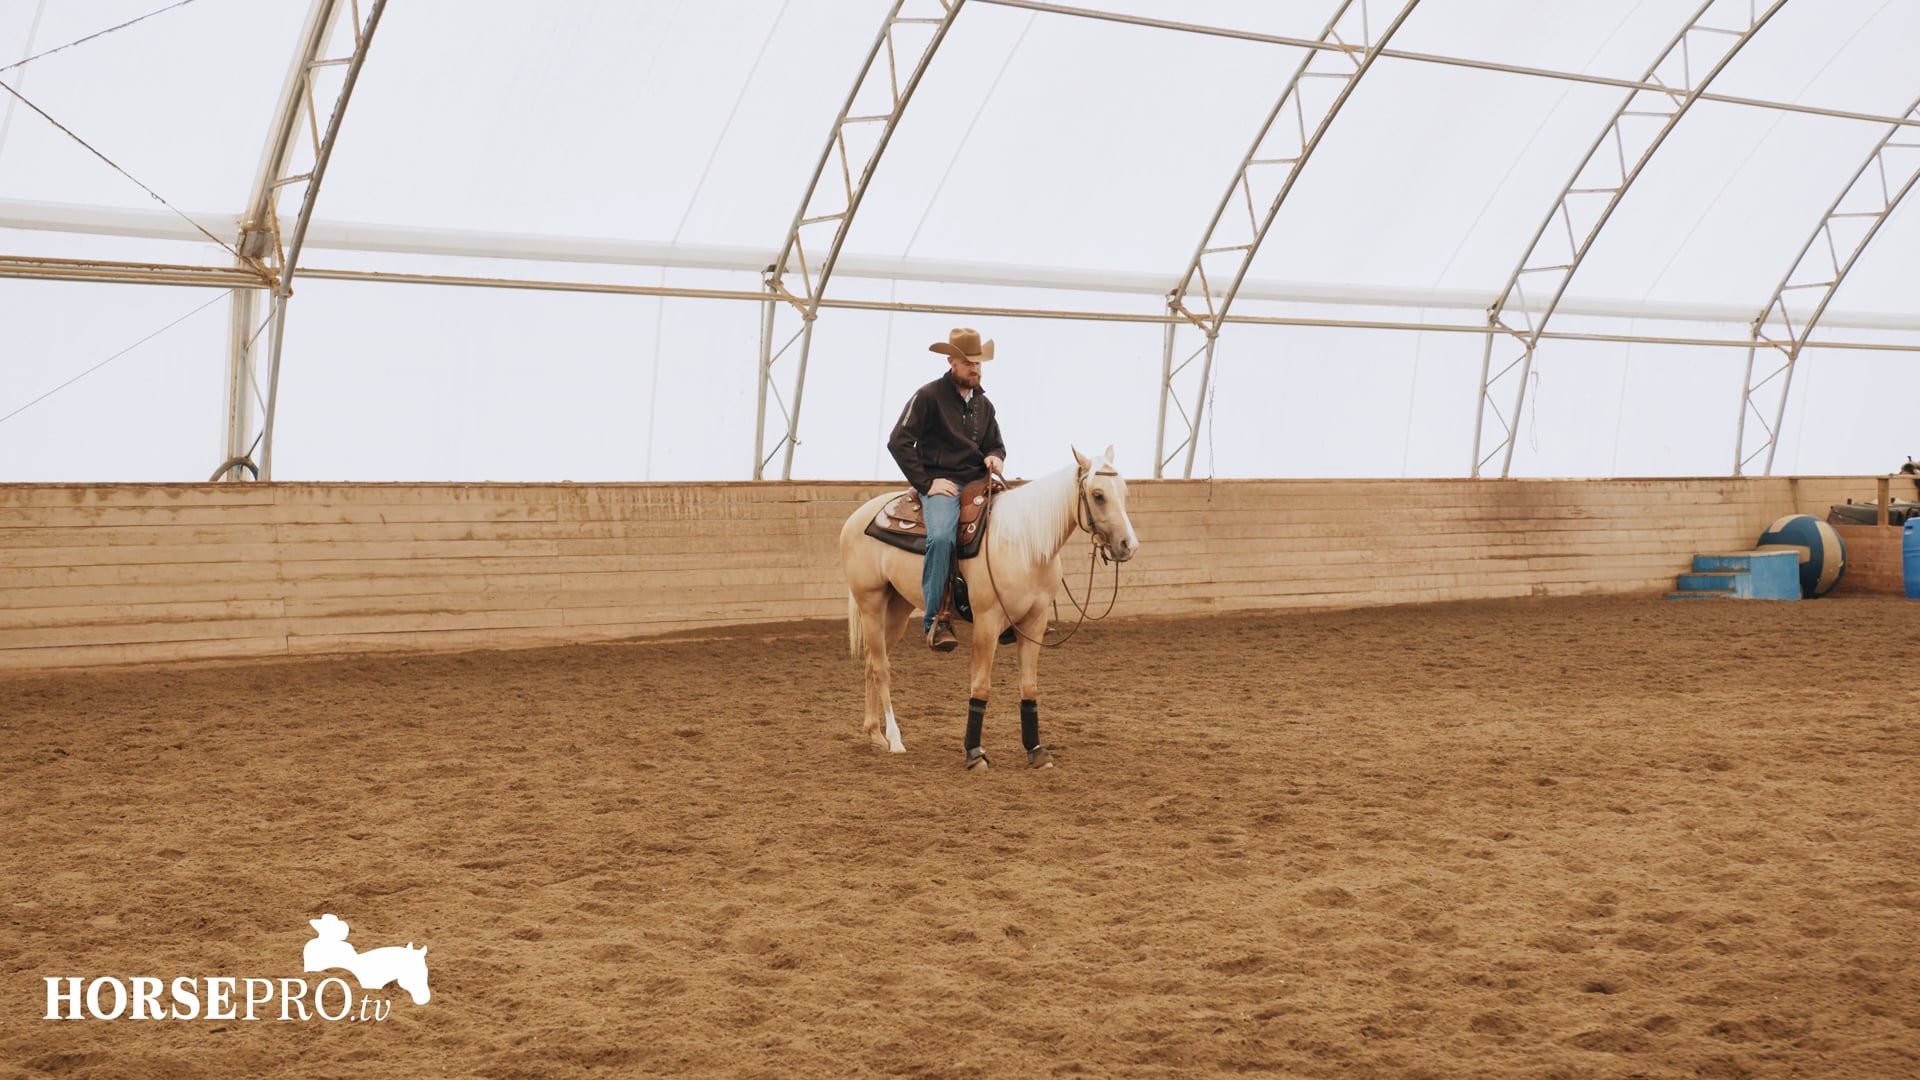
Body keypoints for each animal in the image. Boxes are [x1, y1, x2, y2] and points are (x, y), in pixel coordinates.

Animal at [839, 445, 1139, 766]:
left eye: (1124, 492)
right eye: (1098, 494)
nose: (1128, 545)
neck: (1024, 543)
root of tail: (856, 517)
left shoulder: (1035, 622)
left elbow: (1029, 686)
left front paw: (1036, 750)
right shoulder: (987, 621)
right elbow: (981, 686)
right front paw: (974, 753)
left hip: (897, 609)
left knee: (871, 662)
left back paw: (874, 734)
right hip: (871, 603)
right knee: (881, 667)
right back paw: (894, 739)